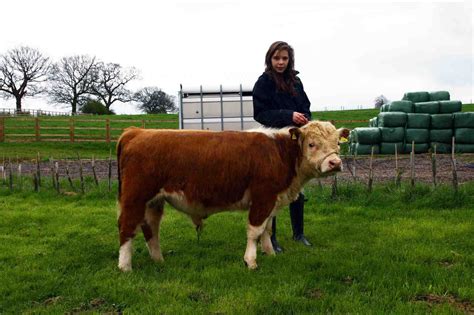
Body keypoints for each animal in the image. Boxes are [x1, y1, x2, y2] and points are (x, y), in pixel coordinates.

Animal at [116, 121, 350, 272]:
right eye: (312, 144)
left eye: (338, 144)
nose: (335, 163)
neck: (280, 153)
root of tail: (137, 132)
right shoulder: (263, 198)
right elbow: (255, 231)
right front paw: (251, 262)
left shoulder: (272, 200)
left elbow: (266, 229)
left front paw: (270, 254)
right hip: (135, 197)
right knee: (127, 226)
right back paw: (125, 267)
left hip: (153, 202)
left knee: (151, 228)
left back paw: (158, 260)